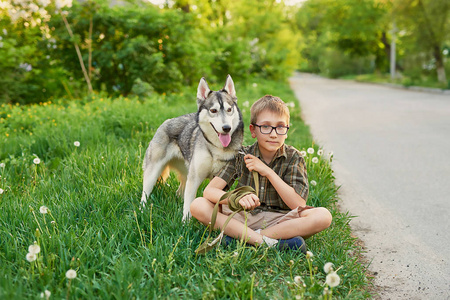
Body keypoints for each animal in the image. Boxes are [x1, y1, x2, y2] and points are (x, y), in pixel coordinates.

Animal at [142, 75, 244, 220]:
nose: (226, 128)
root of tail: (166, 121)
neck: (215, 148)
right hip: (153, 171)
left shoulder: (219, 179)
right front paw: (185, 223)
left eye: (229, 110)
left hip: (186, 172)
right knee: (145, 193)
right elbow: (189, 206)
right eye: (213, 110)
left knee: (180, 191)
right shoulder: (194, 179)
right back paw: (141, 210)